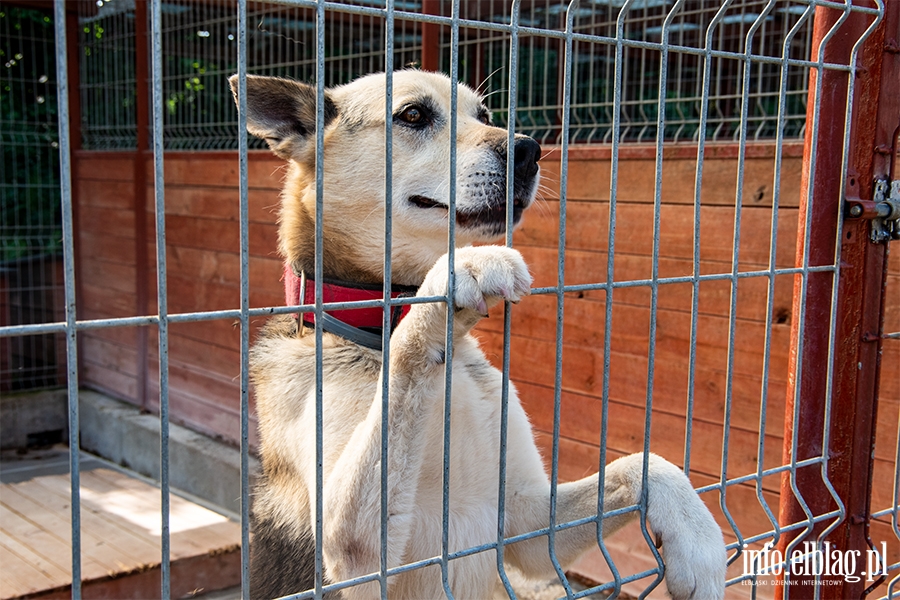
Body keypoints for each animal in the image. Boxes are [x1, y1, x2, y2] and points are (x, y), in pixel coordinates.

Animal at [230, 71, 724, 600]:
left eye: (484, 115)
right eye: (413, 115)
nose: (529, 150)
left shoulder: (528, 523)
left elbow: (642, 462)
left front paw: (699, 542)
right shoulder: (354, 553)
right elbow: (406, 354)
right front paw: (461, 266)